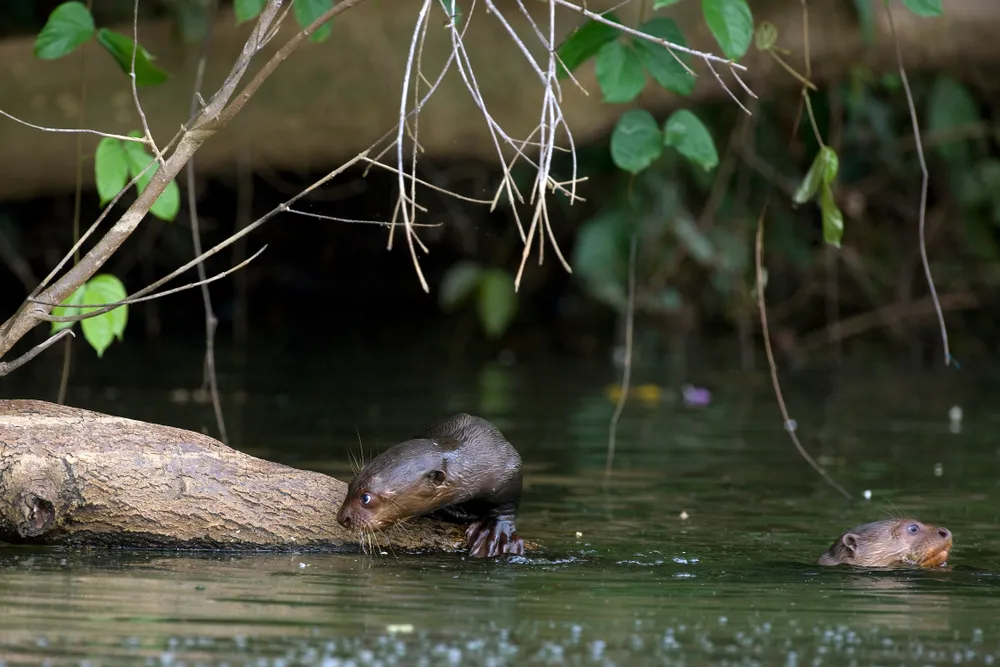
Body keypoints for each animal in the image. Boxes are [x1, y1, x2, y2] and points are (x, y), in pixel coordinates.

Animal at [336, 413, 525, 558]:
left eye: (365, 498)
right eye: (351, 483)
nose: (342, 518)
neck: (476, 462)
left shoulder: (510, 468)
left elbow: (506, 505)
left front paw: (495, 531)